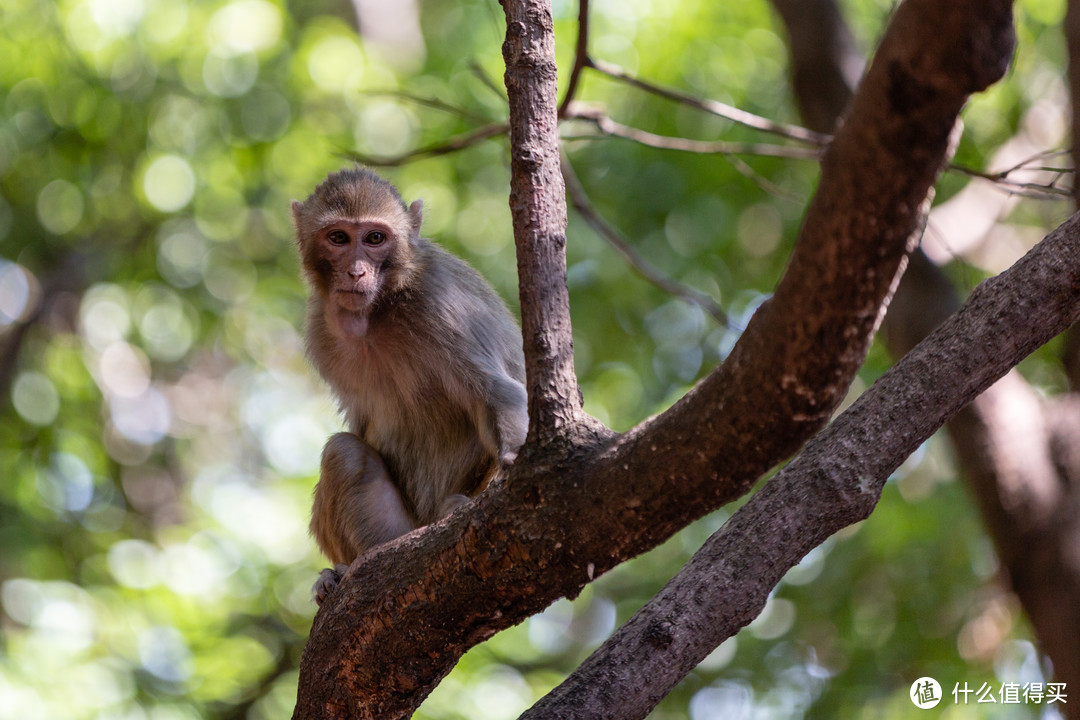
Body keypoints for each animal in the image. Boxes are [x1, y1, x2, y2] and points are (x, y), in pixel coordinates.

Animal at [291, 169, 527, 604]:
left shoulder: (441, 304)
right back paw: (343, 570)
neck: (382, 306)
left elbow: (497, 392)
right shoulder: (320, 327)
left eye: (374, 238)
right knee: (347, 453)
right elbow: (359, 423)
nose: (356, 272)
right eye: (338, 238)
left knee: (341, 452)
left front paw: (513, 462)